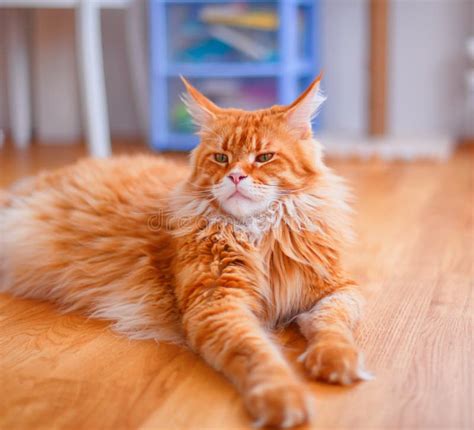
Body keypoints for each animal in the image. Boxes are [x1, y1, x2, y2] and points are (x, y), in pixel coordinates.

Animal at [0, 75, 370, 428]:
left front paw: (337, 360)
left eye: (264, 158)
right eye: (221, 158)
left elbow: (332, 325)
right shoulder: (217, 302)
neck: (258, 232)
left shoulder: (336, 289)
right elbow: (258, 354)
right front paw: (282, 398)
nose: (236, 176)